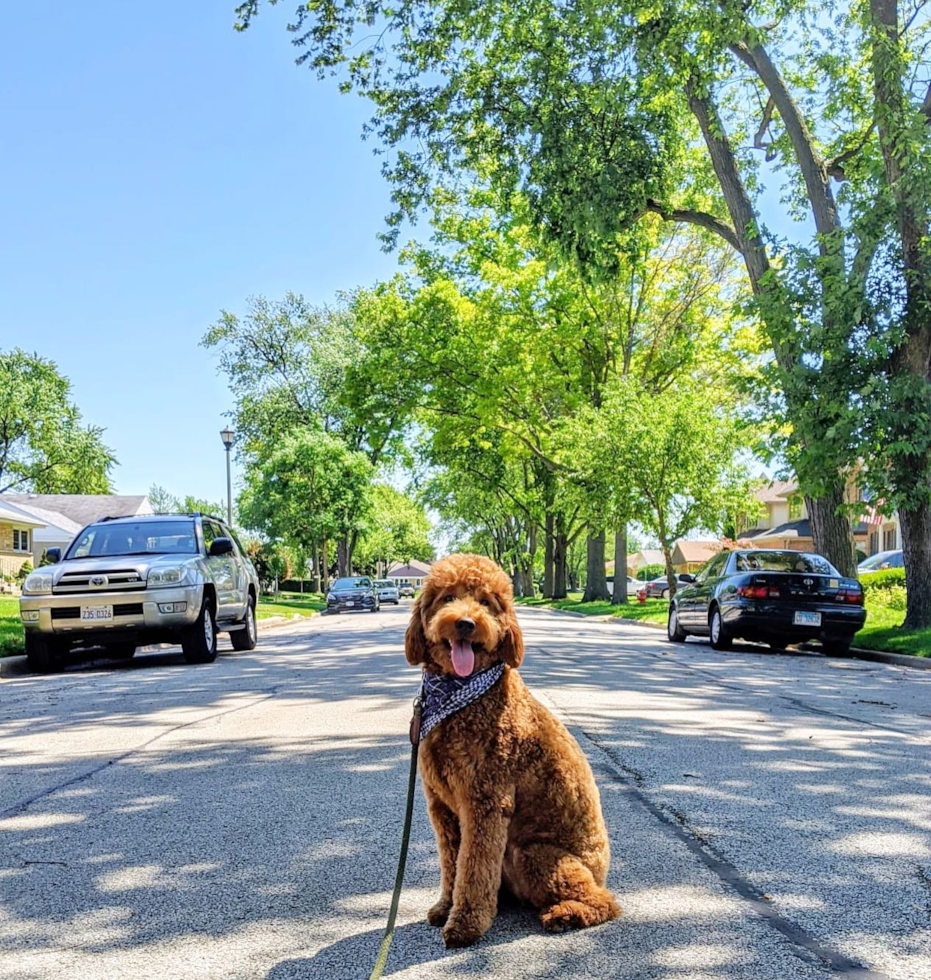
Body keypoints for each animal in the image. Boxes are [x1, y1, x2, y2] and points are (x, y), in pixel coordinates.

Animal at [406, 556, 620, 944]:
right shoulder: (442, 806)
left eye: (487, 602)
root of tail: (601, 872)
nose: (466, 623)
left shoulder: (485, 802)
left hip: (534, 854)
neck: (461, 697)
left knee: (604, 902)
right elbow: (452, 864)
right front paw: (446, 906)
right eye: (447, 597)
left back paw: (565, 914)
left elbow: (472, 869)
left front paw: (465, 924)